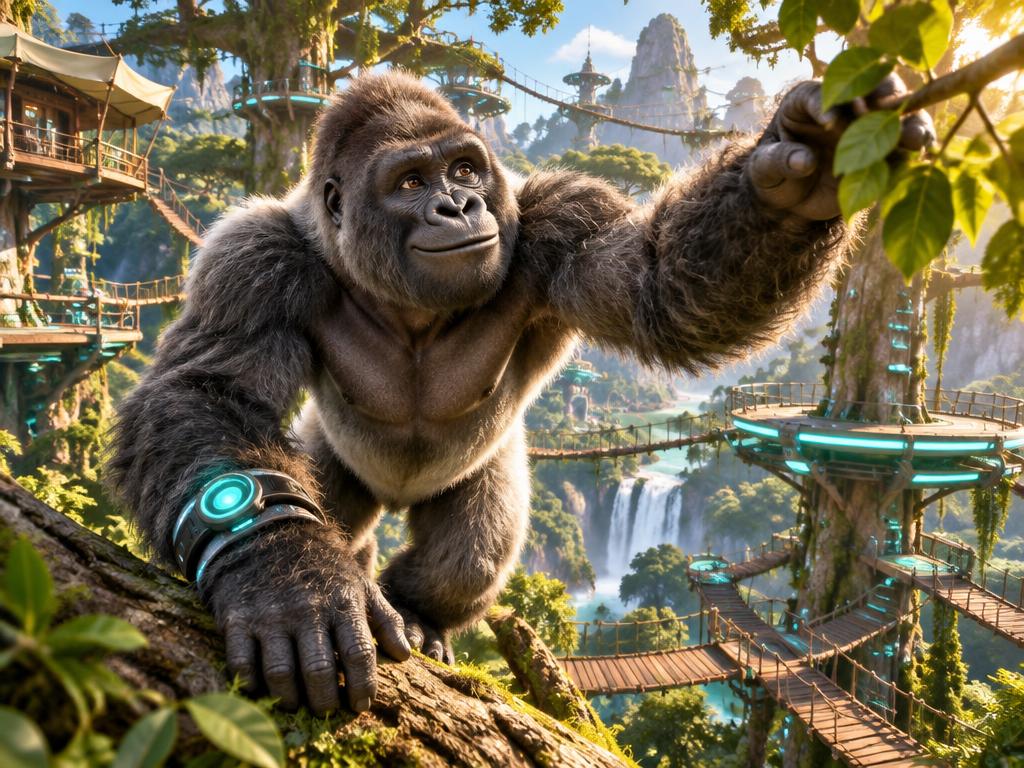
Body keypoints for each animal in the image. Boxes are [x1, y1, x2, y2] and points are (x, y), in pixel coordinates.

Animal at [107, 71, 933, 716]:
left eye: (466, 170)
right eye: (411, 183)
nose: (459, 208)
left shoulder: (558, 222)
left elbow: (661, 285)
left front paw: (799, 180)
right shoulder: (253, 259)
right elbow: (205, 391)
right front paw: (286, 572)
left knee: (471, 553)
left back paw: (420, 609)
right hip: (330, 462)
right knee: (327, 493)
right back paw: (353, 560)